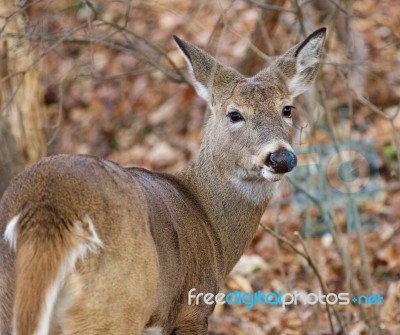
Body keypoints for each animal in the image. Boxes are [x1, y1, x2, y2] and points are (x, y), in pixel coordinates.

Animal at [0, 28, 324, 335]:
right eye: (234, 114)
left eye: (287, 109)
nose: (280, 158)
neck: (209, 222)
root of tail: (47, 213)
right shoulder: (192, 309)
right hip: (114, 304)